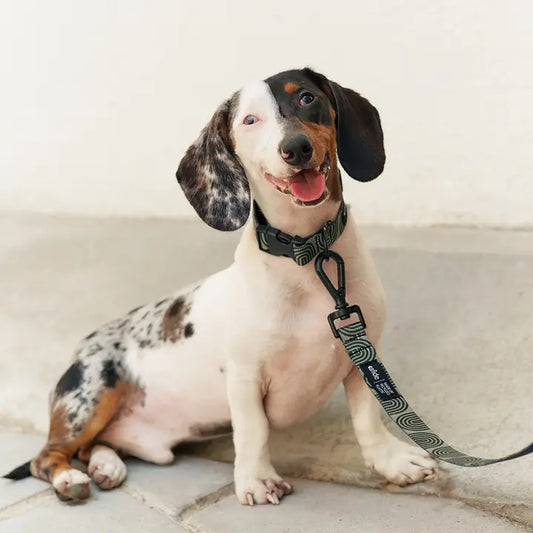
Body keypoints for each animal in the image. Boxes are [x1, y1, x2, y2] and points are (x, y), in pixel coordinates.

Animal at [5, 67, 436, 502]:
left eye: (307, 98)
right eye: (249, 120)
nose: (295, 148)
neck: (306, 253)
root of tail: (82, 347)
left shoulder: (363, 355)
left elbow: (367, 417)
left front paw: (392, 461)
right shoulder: (245, 375)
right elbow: (253, 431)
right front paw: (258, 479)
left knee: (94, 447)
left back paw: (105, 465)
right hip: (91, 396)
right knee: (49, 455)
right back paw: (70, 478)